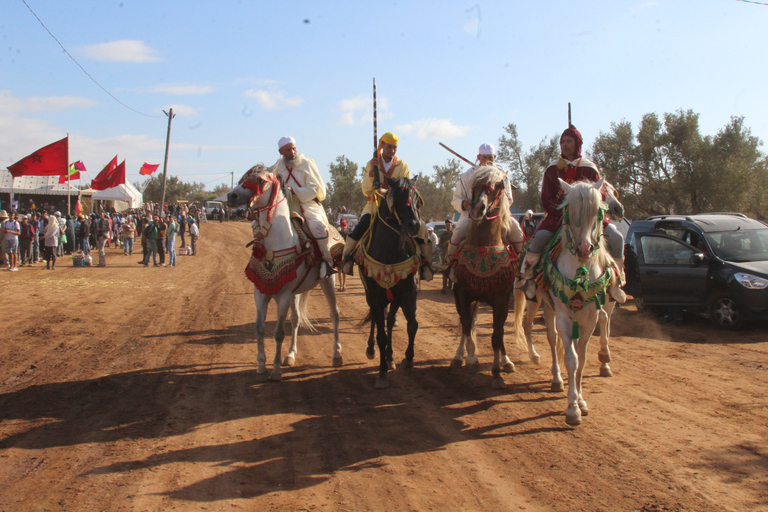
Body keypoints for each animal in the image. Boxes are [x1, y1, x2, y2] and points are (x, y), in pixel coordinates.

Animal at [228, 164, 342, 380]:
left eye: (260, 180)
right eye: (242, 178)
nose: (231, 196)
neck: (278, 242)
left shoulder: (283, 295)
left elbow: (279, 332)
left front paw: (275, 370)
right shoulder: (261, 293)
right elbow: (260, 328)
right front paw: (261, 365)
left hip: (328, 281)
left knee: (334, 314)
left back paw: (337, 354)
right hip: (296, 293)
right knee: (296, 320)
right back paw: (290, 354)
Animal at [356, 176, 424, 388]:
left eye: (416, 198)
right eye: (399, 197)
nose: (414, 225)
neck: (389, 252)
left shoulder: (408, 292)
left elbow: (412, 325)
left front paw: (408, 359)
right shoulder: (376, 296)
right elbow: (381, 335)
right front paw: (381, 373)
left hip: (394, 297)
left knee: (391, 320)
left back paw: (390, 357)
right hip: (372, 296)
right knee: (376, 321)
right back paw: (372, 350)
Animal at [516, 178, 616, 426]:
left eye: (597, 211)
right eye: (570, 212)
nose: (584, 248)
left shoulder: (590, 318)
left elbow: (582, 358)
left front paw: (581, 400)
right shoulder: (563, 315)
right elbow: (571, 360)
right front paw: (572, 409)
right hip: (541, 303)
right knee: (544, 335)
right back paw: (554, 377)